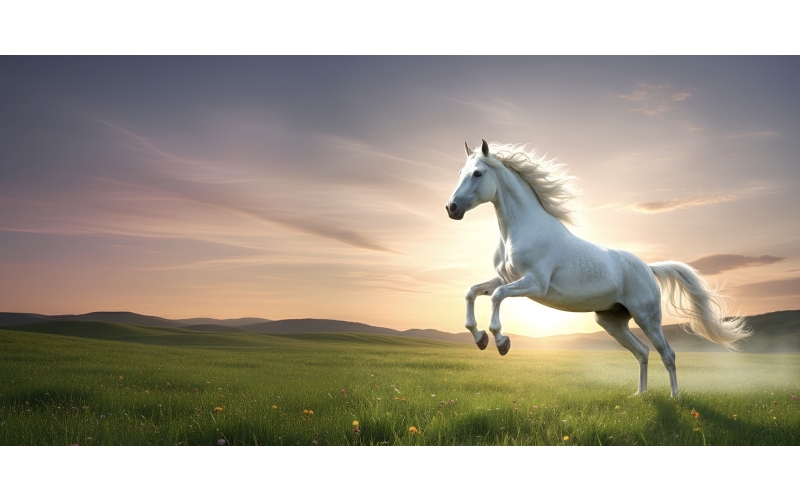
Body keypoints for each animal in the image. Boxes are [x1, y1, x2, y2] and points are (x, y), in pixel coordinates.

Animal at [445, 140, 750, 397]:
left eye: (478, 173)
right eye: (460, 171)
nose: (451, 208)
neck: (520, 230)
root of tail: (648, 268)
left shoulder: (535, 284)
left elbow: (496, 297)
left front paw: (501, 342)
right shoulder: (503, 278)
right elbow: (472, 292)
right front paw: (480, 338)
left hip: (647, 317)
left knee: (668, 354)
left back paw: (675, 398)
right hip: (611, 321)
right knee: (642, 352)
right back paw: (640, 395)